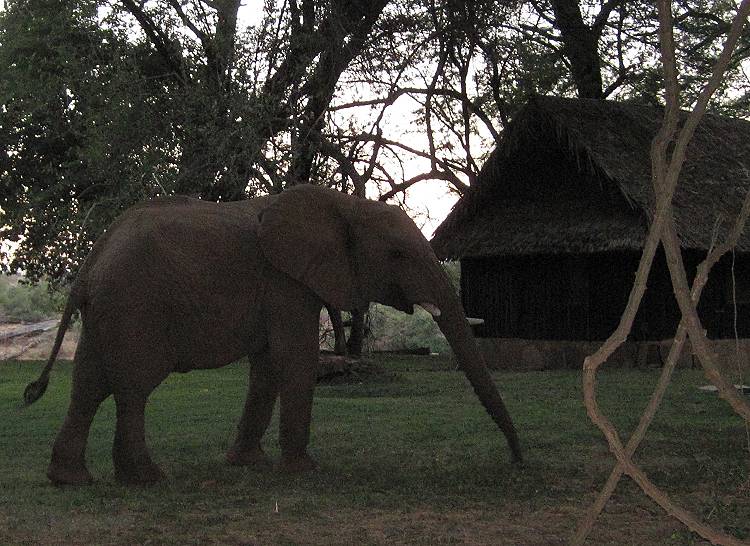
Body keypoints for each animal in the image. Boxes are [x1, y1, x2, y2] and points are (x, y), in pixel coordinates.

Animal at [25, 185, 524, 482]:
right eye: (398, 254)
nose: (518, 461)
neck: (344, 205)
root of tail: (92, 258)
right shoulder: (286, 281)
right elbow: (294, 358)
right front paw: (303, 470)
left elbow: (267, 367)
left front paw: (249, 464)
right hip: (134, 305)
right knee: (132, 387)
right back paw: (147, 479)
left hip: (107, 311)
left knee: (88, 384)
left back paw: (70, 480)